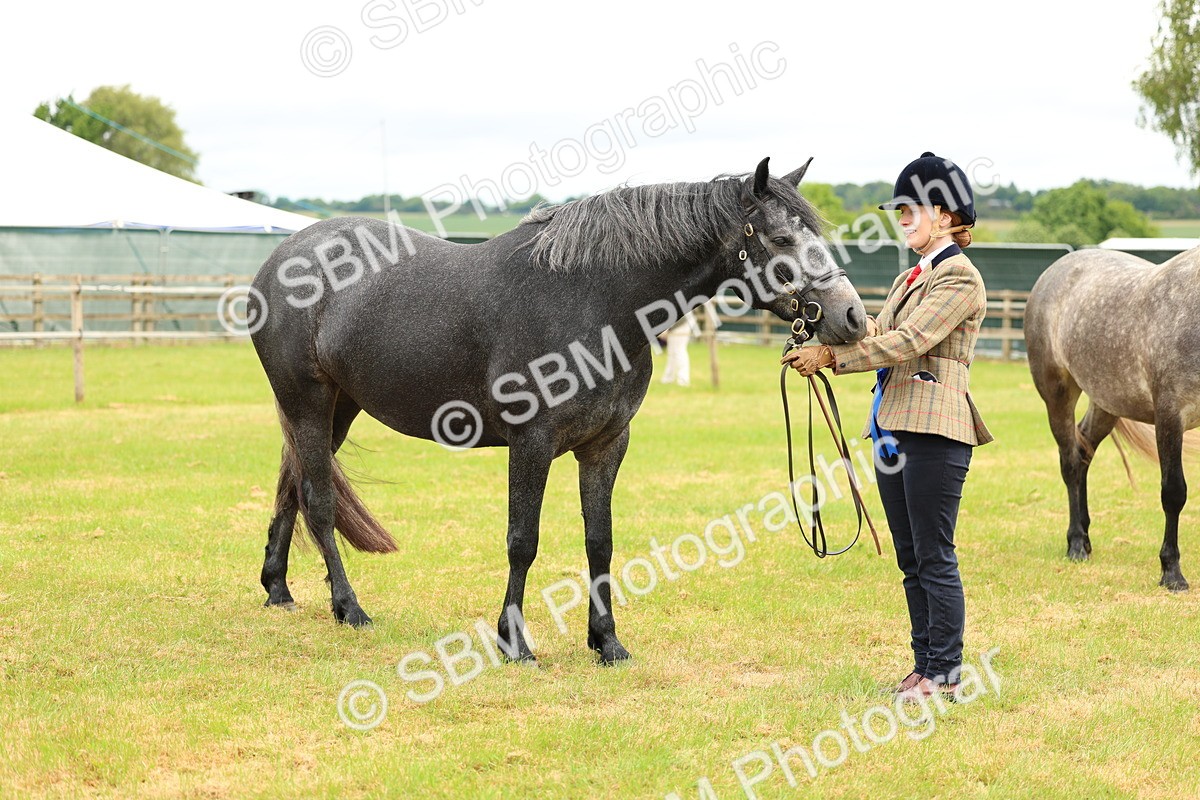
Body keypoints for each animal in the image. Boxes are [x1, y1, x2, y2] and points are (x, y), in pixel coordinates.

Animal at [247, 157, 868, 664]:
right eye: (782, 238)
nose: (853, 317)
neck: (593, 302)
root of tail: (279, 261)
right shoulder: (532, 443)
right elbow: (523, 539)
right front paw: (514, 643)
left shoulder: (605, 445)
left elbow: (600, 540)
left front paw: (607, 642)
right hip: (307, 401)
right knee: (318, 500)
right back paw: (349, 607)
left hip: (338, 407)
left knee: (291, 485)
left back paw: (278, 589)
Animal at [1025, 247, 1200, 591]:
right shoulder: (1170, 416)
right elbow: (1174, 492)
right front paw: (1171, 572)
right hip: (1058, 395)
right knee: (1070, 463)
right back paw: (1076, 544)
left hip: (1107, 401)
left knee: (1083, 453)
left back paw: (1085, 536)